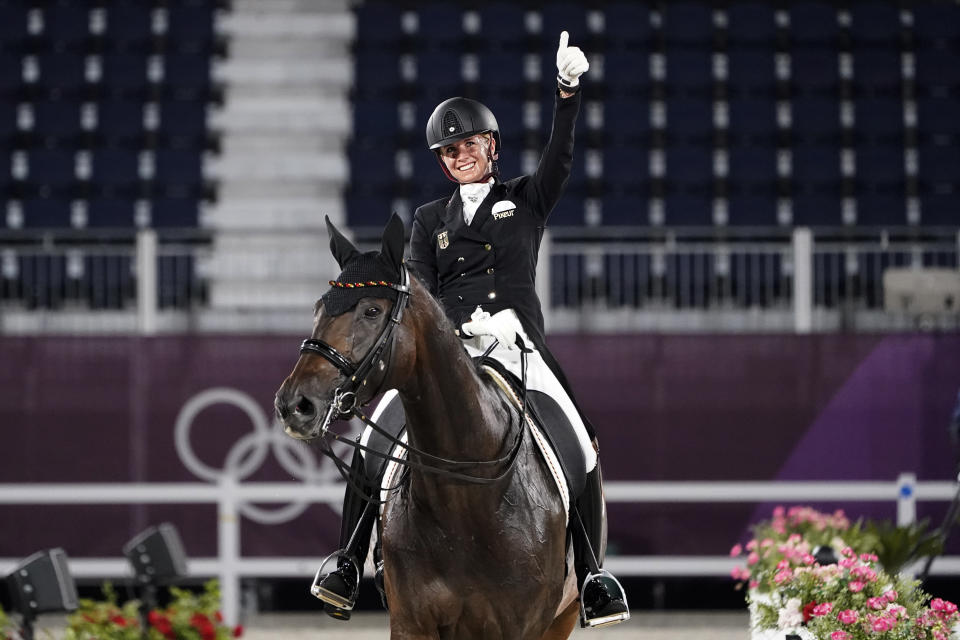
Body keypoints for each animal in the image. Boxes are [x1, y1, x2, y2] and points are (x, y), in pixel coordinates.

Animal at [274, 216, 580, 640]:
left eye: (372, 310)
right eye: (319, 308)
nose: (294, 405)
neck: (463, 494)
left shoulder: (523, 627)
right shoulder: (411, 622)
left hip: (561, 619)